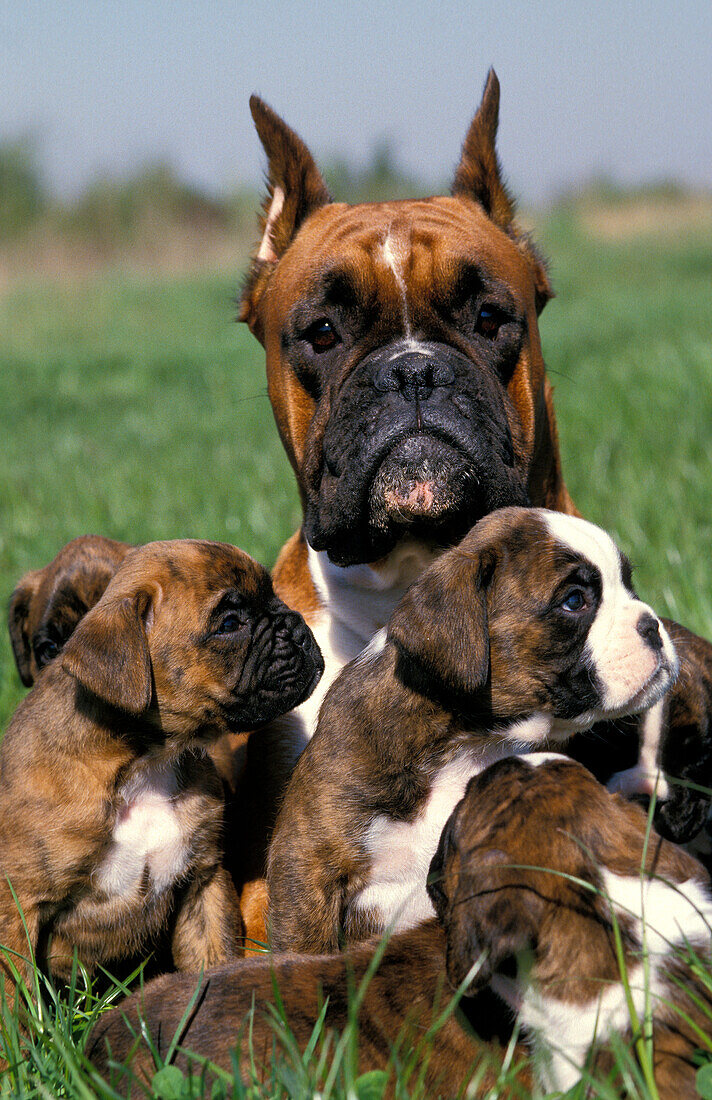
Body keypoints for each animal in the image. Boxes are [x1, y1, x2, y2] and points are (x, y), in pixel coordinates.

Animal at [268, 506, 677, 954]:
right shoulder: (307, 868)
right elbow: (307, 948)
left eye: (630, 585)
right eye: (574, 601)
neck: (471, 742)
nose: (653, 626)